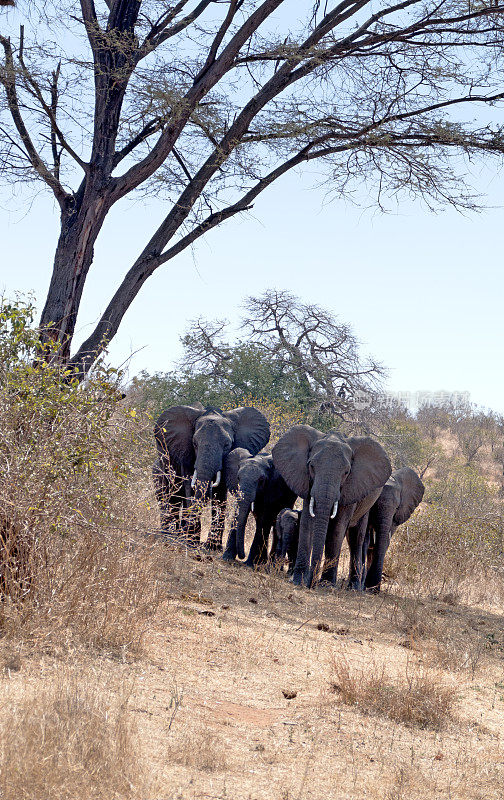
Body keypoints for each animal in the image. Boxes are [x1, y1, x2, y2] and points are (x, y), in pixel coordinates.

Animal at [154, 404, 272, 548]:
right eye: (194, 444)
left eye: (227, 445)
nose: (185, 533)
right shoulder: (185, 452)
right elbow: (190, 487)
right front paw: (191, 541)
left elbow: (220, 493)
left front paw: (212, 546)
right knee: (170, 495)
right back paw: (170, 535)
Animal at [274, 424, 392, 588]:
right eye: (311, 466)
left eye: (346, 472)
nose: (310, 583)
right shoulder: (308, 483)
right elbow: (307, 523)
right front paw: (298, 580)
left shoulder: (351, 488)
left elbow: (337, 528)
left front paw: (326, 585)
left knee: (356, 538)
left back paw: (353, 587)